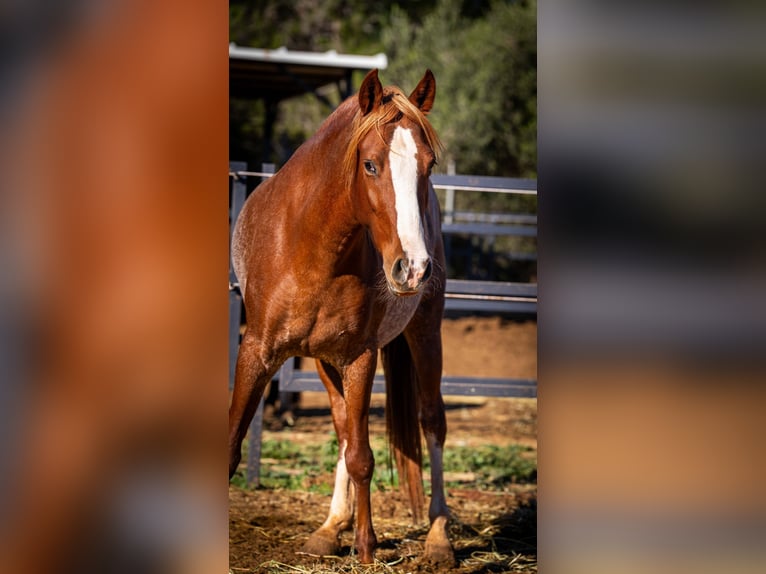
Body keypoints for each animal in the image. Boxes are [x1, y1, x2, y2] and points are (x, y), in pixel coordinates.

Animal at [229, 69, 453, 566]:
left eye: (428, 166)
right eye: (370, 165)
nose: (413, 268)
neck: (309, 246)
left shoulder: (360, 356)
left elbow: (363, 458)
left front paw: (367, 548)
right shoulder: (256, 351)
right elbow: (233, 444)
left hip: (425, 332)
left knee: (432, 421)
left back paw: (438, 537)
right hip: (323, 360)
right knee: (343, 427)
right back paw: (331, 526)